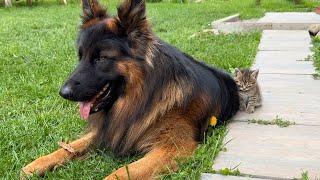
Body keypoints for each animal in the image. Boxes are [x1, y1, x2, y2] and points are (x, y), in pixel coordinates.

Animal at [21, 0, 238, 178]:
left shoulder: (174, 147)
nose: (63, 93)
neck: (141, 98)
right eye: (80, 56)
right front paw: (36, 164)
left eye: (101, 58)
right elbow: (70, 146)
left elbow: (121, 173)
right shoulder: (112, 129)